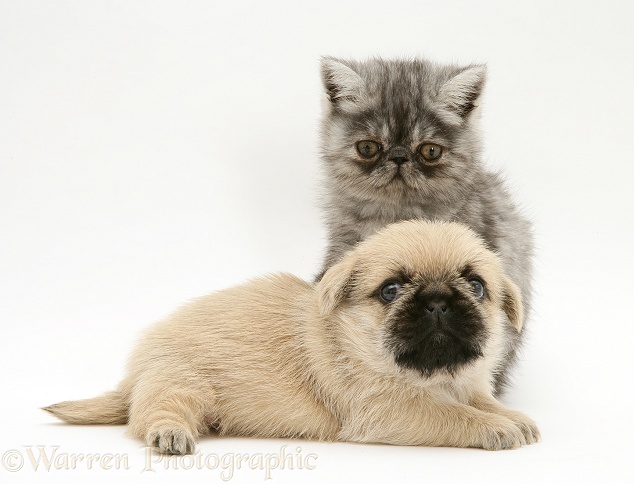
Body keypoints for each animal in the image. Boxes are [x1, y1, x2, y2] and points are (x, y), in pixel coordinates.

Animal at [45, 220, 540, 454]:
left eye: (475, 286)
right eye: (391, 290)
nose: (438, 301)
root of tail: (135, 375)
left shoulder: (466, 386)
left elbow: (480, 402)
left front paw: (512, 416)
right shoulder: (392, 411)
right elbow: (455, 415)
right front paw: (495, 427)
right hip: (180, 385)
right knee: (152, 415)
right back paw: (169, 433)